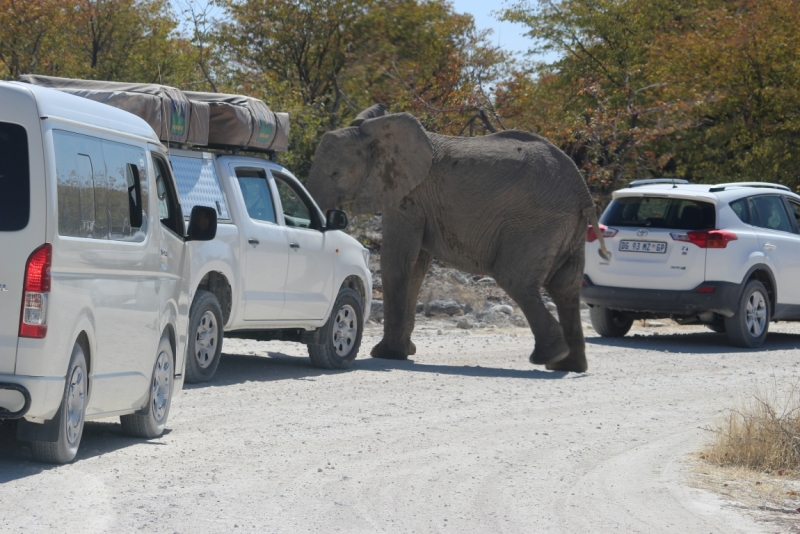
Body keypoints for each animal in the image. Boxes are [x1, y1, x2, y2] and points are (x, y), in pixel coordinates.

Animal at [310, 104, 608, 372]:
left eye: (335, 174)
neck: (378, 134)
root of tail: (583, 191)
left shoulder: (409, 196)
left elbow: (398, 263)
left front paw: (386, 354)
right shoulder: (418, 200)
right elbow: (416, 268)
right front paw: (403, 353)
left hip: (536, 224)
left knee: (516, 280)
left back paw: (548, 357)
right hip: (569, 229)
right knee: (565, 288)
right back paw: (569, 365)